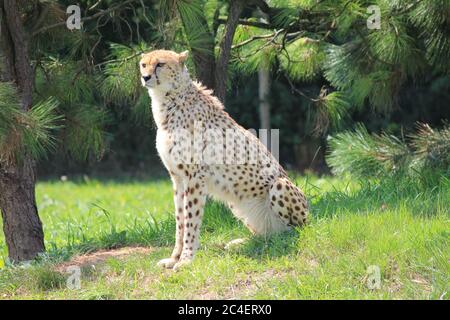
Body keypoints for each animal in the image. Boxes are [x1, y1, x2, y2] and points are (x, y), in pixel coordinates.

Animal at [141, 50, 310, 270]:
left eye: (160, 64)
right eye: (143, 64)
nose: (145, 77)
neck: (168, 99)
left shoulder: (194, 178)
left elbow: (191, 220)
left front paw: (186, 260)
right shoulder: (177, 178)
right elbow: (180, 220)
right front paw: (174, 258)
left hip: (280, 186)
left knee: (292, 232)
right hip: (236, 202)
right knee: (268, 236)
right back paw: (242, 243)